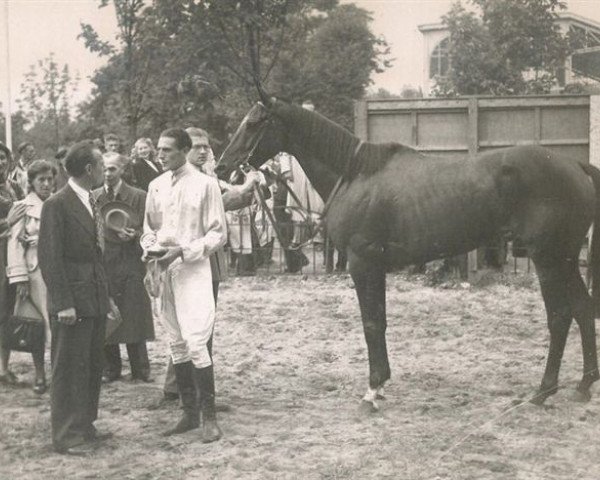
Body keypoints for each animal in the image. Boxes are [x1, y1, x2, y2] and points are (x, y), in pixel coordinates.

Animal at [216, 98, 600, 412]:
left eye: (254, 123)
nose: (222, 167)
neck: (356, 174)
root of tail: (575, 165)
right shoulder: (377, 266)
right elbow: (381, 320)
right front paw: (382, 384)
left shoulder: (362, 263)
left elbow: (371, 323)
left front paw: (372, 391)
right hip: (566, 258)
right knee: (583, 309)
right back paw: (583, 384)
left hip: (549, 259)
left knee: (560, 316)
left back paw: (543, 391)